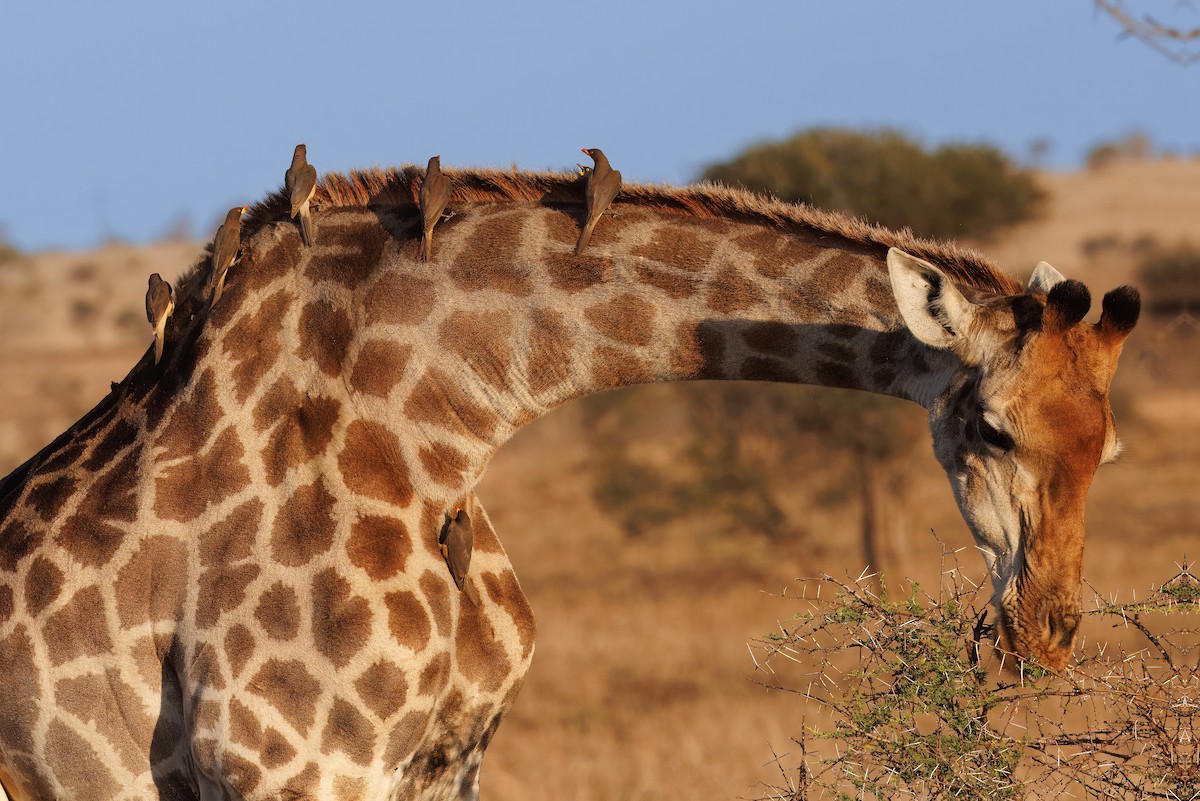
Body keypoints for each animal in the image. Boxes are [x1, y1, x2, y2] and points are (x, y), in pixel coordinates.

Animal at [0, 160, 1137, 796]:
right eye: (990, 428)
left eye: (1107, 450)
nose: (1045, 633)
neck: (428, 428)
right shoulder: (280, 766)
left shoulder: (444, 764)